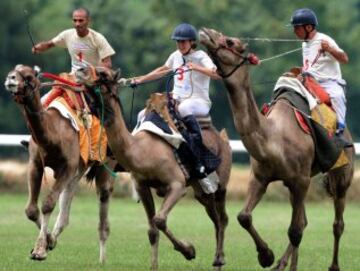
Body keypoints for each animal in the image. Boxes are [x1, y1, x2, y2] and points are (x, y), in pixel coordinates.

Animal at [4, 65, 116, 264]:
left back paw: (102, 260)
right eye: (15, 70)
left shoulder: (67, 166)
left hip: (104, 161)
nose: (11, 79)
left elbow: (48, 203)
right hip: (77, 169)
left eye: (28, 76)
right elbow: (31, 210)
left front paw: (40, 250)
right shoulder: (35, 164)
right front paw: (48, 242)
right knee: (67, 198)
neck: (54, 133)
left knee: (103, 195)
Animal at [75, 66, 233, 271]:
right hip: (201, 190)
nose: (80, 69)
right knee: (215, 217)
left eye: (103, 74)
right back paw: (217, 262)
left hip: (221, 183)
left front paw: (189, 250)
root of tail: (223, 139)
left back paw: (220, 260)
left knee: (222, 218)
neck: (141, 151)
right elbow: (152, 229)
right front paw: (155, 265)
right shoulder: (142, 186)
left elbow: (159, 219)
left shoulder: (177, 185)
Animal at [198, 28, 356, 271]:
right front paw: (266, 256)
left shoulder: (301, 180)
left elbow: (295, 231)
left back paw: (333, 266)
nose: (206, 32)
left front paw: (273, 258)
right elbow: (244, 217)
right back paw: (280, 264)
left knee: (337, 223)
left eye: (230, 42)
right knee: (304, 221)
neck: (273, 138)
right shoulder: (261, 177)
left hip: (341, 173)